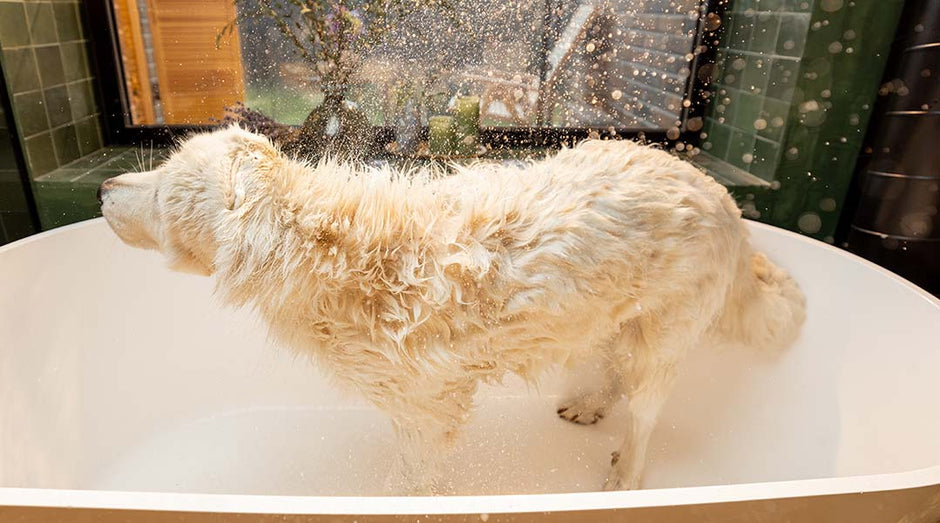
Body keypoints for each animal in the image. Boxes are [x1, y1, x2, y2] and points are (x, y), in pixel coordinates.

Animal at [101, 127, 808, 496]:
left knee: (646, 412)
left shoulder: (425, 409)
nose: (106, 187)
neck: (331, 251)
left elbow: (413, 483)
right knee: (612, 366)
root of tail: (726, 202)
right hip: (616, 312)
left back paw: (625, 476)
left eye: (160, 190)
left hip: (666, 331)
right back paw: (590, 403)